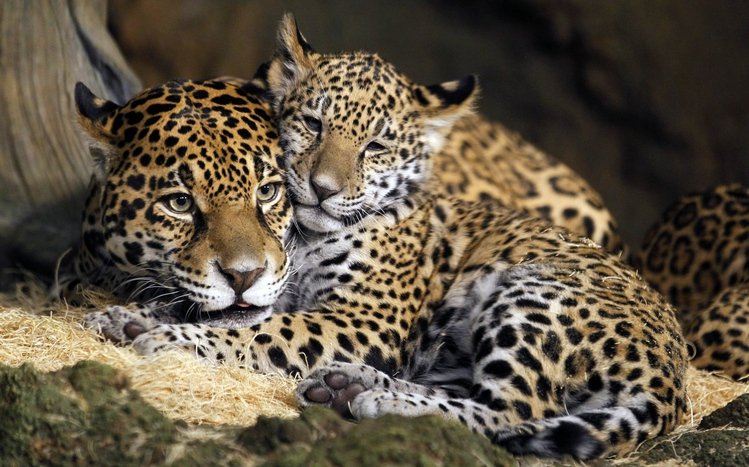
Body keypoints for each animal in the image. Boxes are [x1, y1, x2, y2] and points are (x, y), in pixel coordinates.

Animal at [89, 15, 688, 460]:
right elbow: (240, 313)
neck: (306, 236)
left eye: (375, 146)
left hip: (534, 296)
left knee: (514, 413)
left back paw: (380, 403)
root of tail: (674, 381)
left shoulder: (363, 316)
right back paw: (349, 386)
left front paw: (167, 338)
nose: (322, 188)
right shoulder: (280, 288)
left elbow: (262, 332)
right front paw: (130, 318)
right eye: (313, 124)